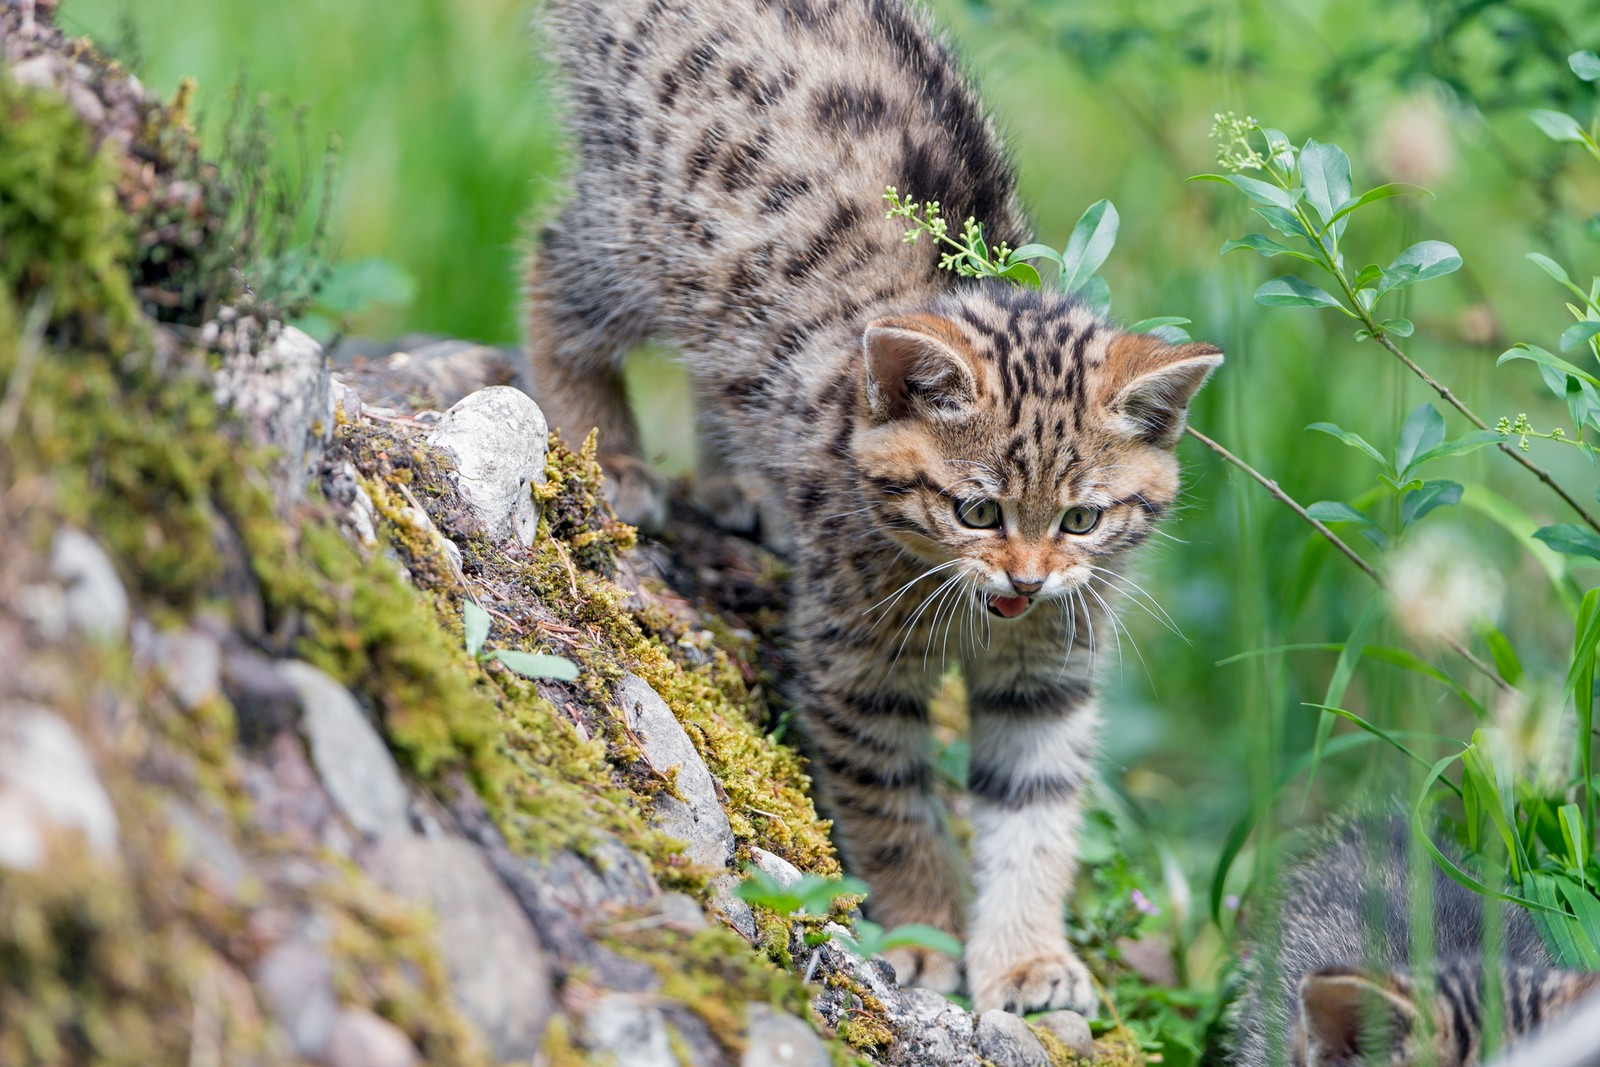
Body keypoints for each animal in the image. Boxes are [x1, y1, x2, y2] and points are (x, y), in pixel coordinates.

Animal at [531, 0, 1216, 1017]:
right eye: (977, 511)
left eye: (1082, 521)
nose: (1026, 580)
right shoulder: (853, 662)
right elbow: (889, 798)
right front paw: (925, 931)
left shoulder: (1050, 665)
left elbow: (1035, 805)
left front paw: (1025, 956)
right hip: (655, 231)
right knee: (555, 256)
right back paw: (604, 446)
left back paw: (737, 482)